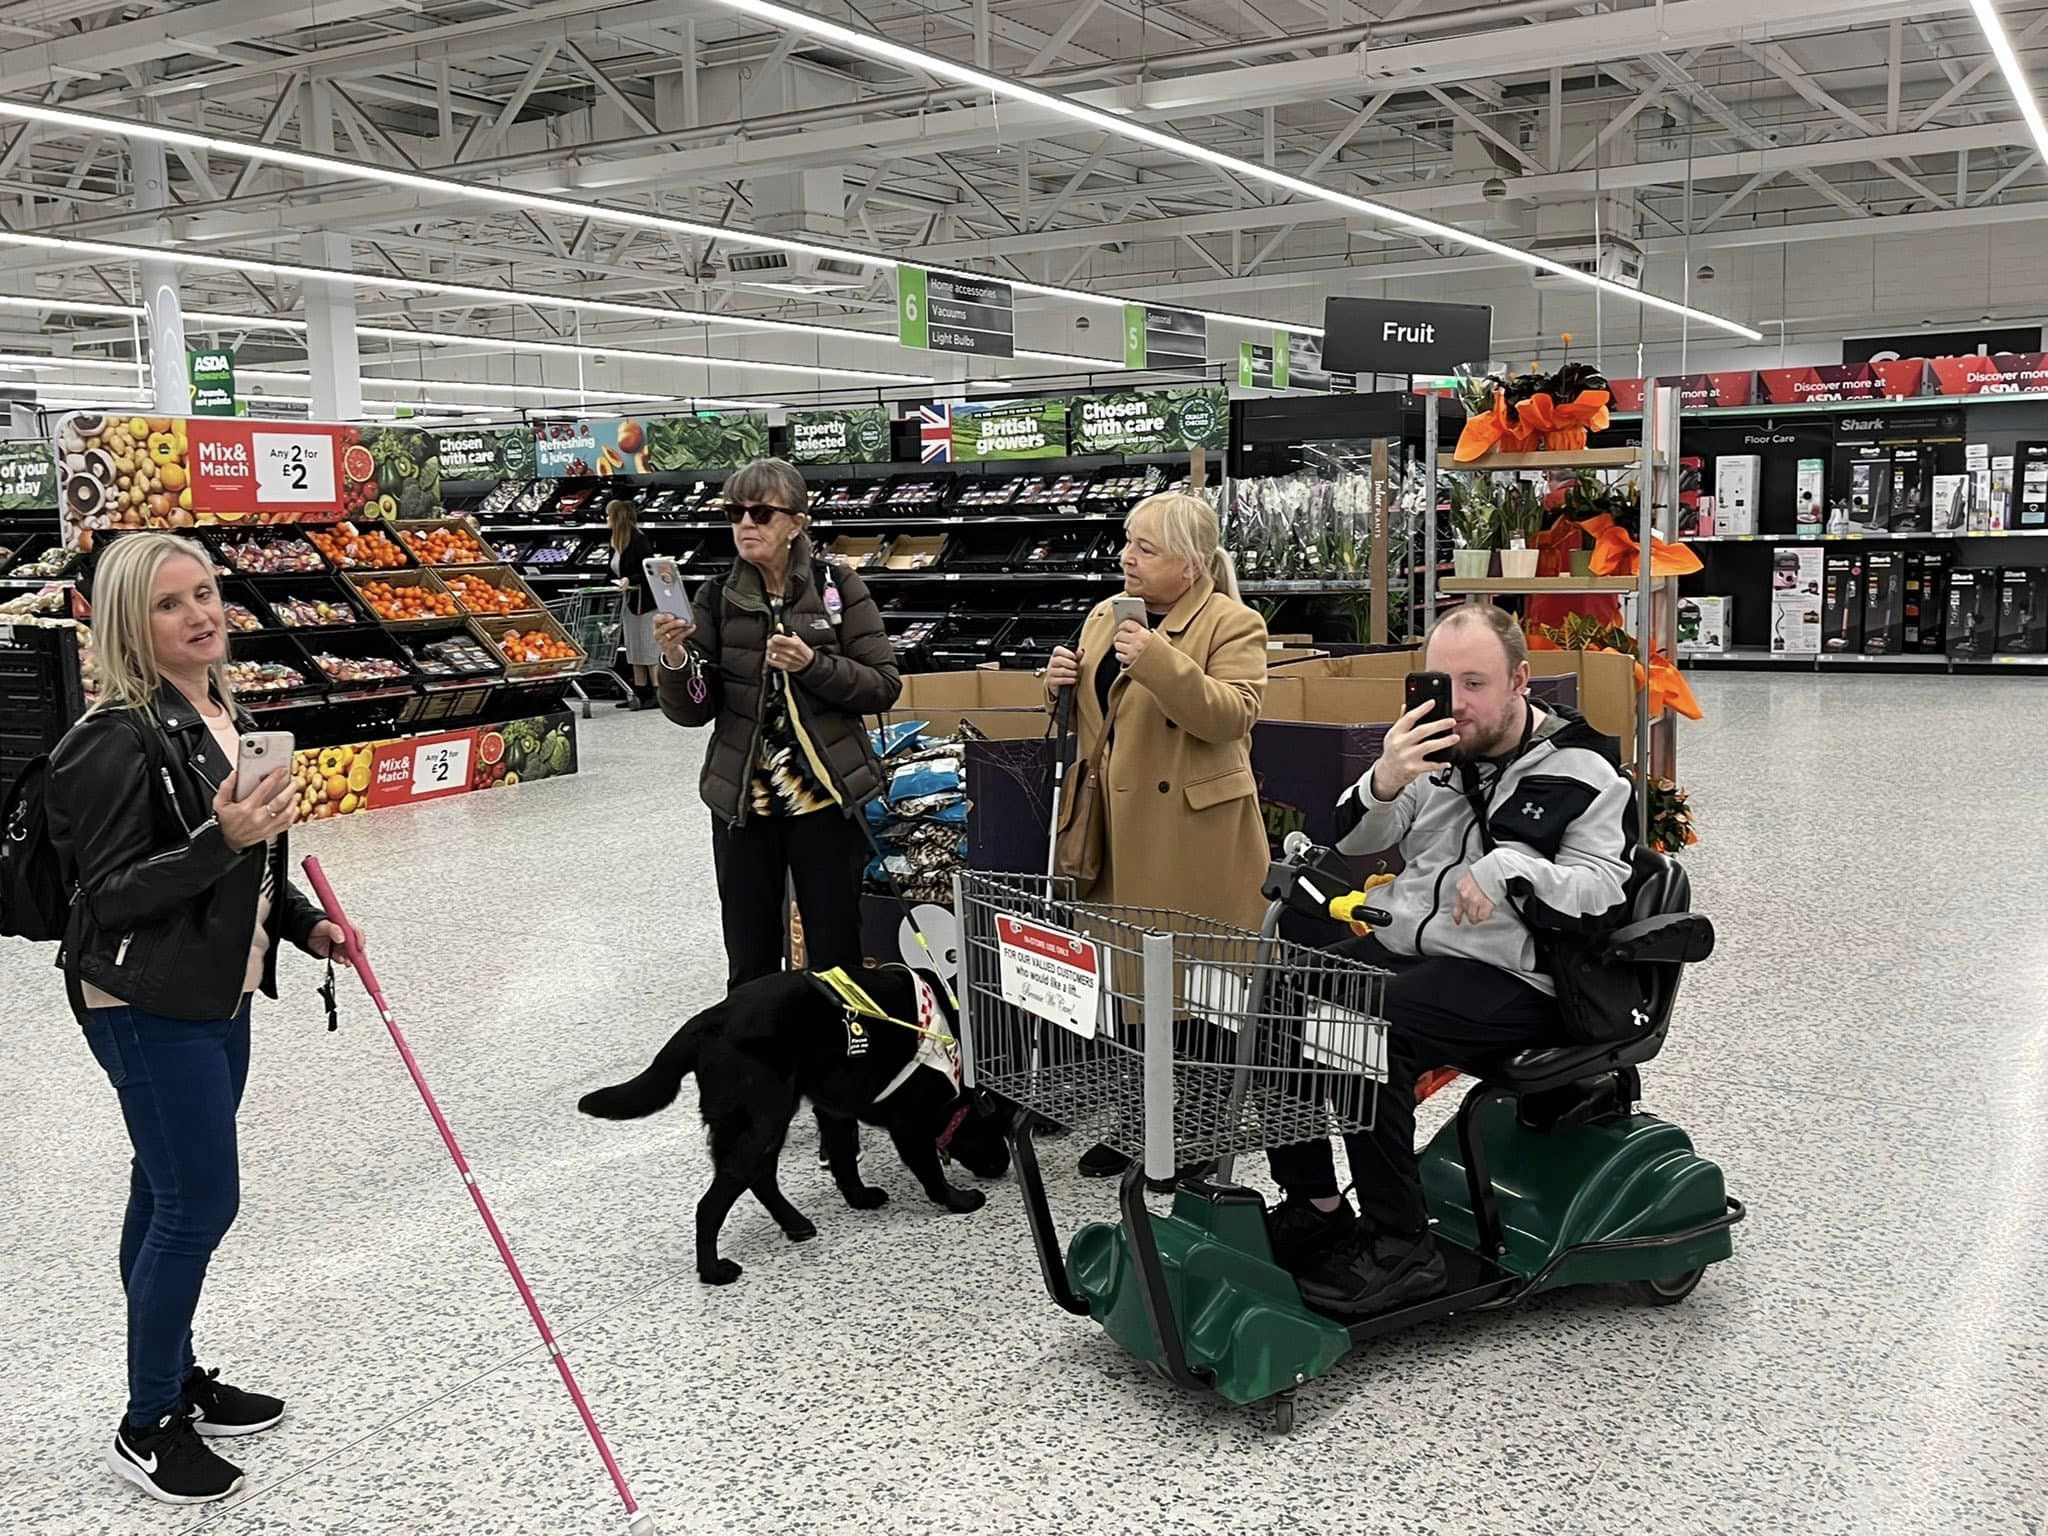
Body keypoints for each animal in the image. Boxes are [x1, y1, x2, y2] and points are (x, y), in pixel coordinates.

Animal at [577, 974, 1007, 1286]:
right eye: (994, 1126)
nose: (1004, 1165)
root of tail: (707, 1022)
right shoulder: (909, 1122)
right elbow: (930, 1172)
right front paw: (957, 1201)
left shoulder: (834, 1110)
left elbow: (844, 1161)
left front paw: (859, 1198)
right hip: (764, 1123)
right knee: (713, 1204)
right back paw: (713, 1270)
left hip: (756, 1125)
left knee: (760, 1178)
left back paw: (794, 1223)